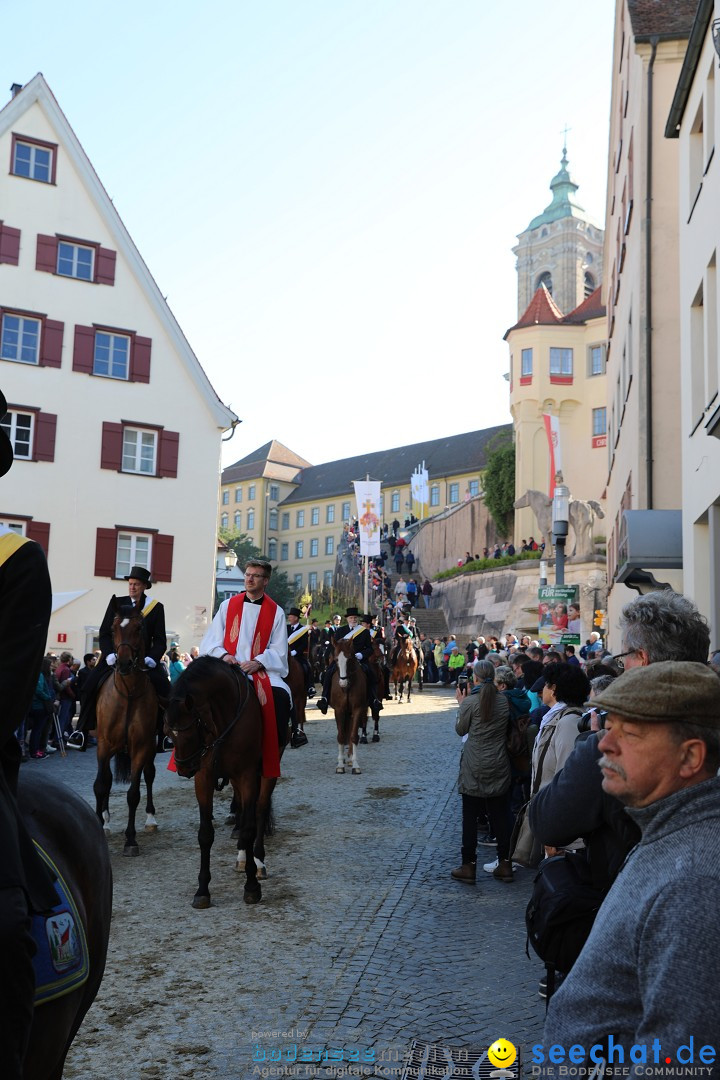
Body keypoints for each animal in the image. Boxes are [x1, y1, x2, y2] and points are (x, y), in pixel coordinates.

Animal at [92, 609, 158, 851]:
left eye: (139, 628)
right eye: (113, 629)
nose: (123, 663)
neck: (128, 693)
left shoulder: (141, 747)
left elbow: (133, 793)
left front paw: (130, 839)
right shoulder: (103, 744)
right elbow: (101, 785)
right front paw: (100, 824)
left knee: (149, 775)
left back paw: (151, 819)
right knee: (106, 779)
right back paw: (105, 820)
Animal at [166, 652, 276, 907]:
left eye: (189, 730)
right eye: (169, 732)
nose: (184, 767)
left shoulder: (247, 774)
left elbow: (249, 828)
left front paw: (251, 887)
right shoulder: (204, 777)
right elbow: (205, 834)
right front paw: (202, 890)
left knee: (259, 810)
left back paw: (258, 862)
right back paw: (243, 857)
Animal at [330, 635, 369, 773]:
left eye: (350, 658)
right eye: (336, 659)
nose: (343, 683)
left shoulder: (357, 709)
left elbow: (353, 736)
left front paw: (355, 765)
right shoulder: (339, 710)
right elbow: (341, 736)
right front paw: (340, 765)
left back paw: (351, 758)